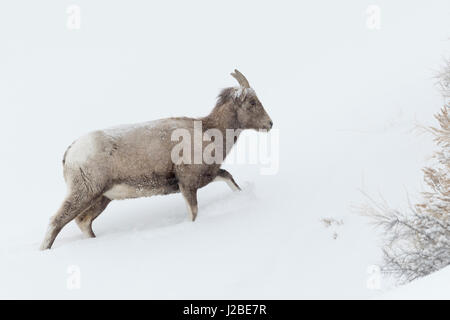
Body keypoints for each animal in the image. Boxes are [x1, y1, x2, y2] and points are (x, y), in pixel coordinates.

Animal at [40, 69, 272, 250]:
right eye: (252, 102)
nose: (270, 124)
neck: (209, 133)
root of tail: (70, 152)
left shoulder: (208, 176)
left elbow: (230, 179)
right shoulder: (188, 184)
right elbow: (193, 213)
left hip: (102, 198)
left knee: (83, 222)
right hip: (84, 193)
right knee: (56, 222)